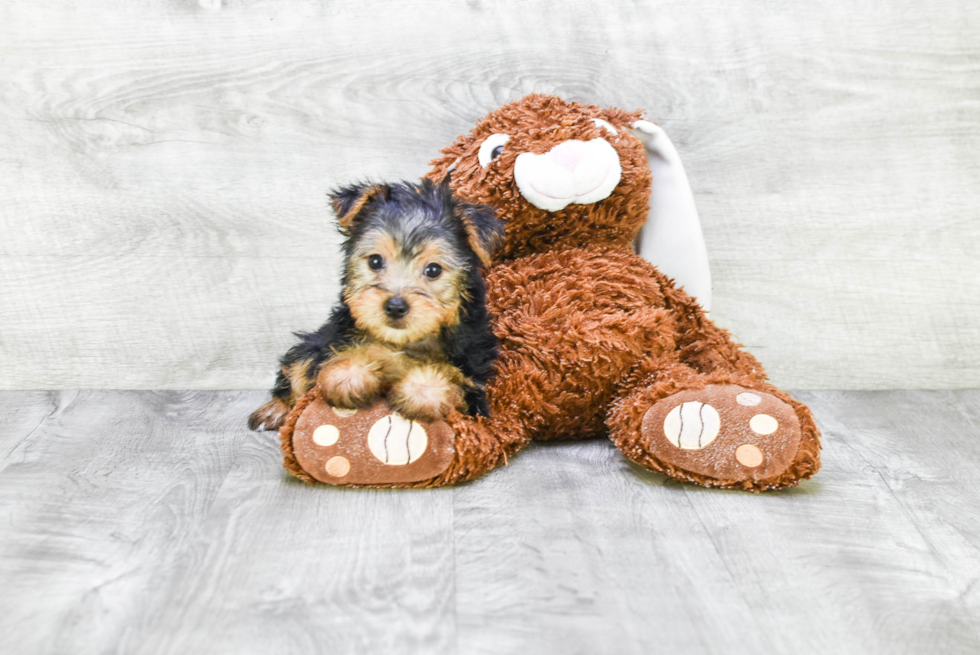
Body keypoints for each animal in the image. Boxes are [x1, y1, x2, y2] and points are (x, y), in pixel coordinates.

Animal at [249, 178, 502, 430]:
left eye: (433, 270)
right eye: (375, 261)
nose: (395, 306)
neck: (403, 342)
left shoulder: (472, 373)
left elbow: (451, 381)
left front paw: (421, 390)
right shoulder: (337, 337)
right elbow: (340, 360)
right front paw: (350, 376)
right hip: (312, 344)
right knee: (297, 366)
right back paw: (275, 409)